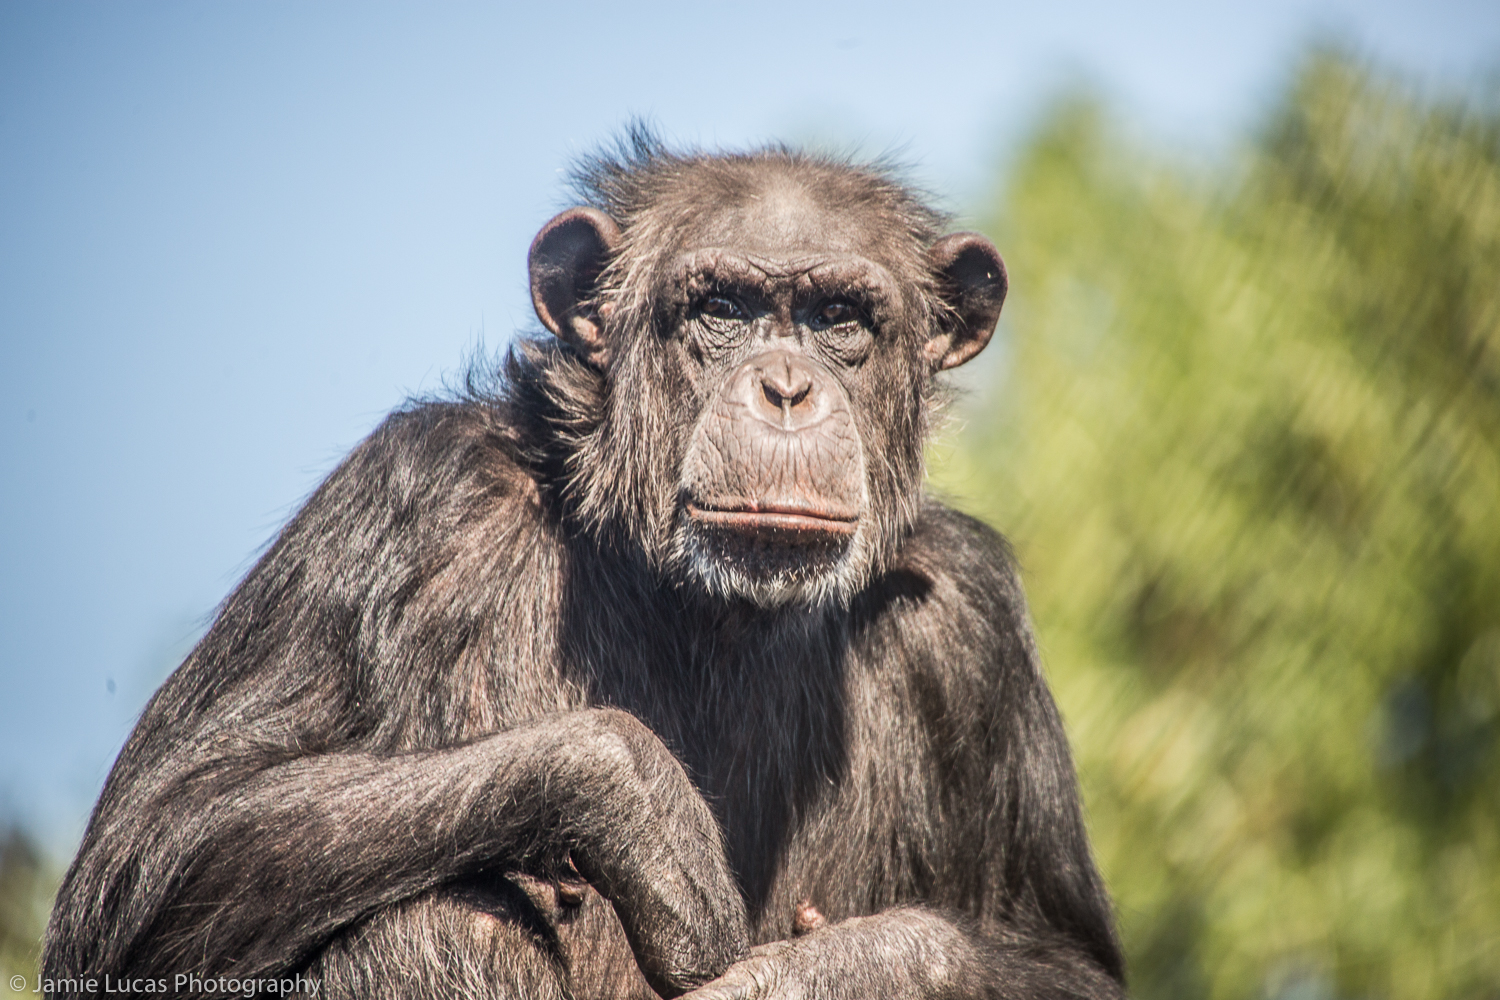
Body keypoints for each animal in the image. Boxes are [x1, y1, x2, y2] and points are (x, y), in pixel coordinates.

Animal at [43, 130, 1125, 999]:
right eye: (722, 307)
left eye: (841, 321)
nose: (785, 386)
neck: (704, 602)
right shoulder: (409, 494)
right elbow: (154, 847)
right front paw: (634, 796)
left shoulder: (974, 615)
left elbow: (1068, 960)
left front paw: (843, 971)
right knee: (441, 917)